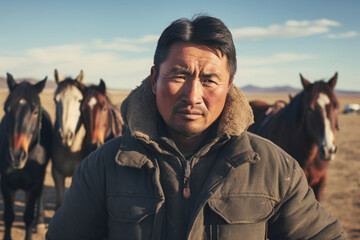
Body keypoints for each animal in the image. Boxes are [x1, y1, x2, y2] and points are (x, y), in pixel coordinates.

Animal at [0, 73, 52, 240]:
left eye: (35, 112)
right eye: (6, 109)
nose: (16, 155)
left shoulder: (34, 184)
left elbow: (28, 216)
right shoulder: (6, 182)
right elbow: (8, 216)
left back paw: (40, 223)